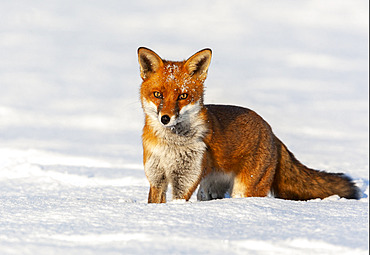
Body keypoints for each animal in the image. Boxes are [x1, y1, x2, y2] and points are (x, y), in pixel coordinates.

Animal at [137, 46, 360, 203]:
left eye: (183, 96)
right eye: (158, 95)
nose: (165, 118)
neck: (171, 145)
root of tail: (271, 131)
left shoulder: (185, 180)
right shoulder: (156, 178)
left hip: (245, 189)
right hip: (208, 191)